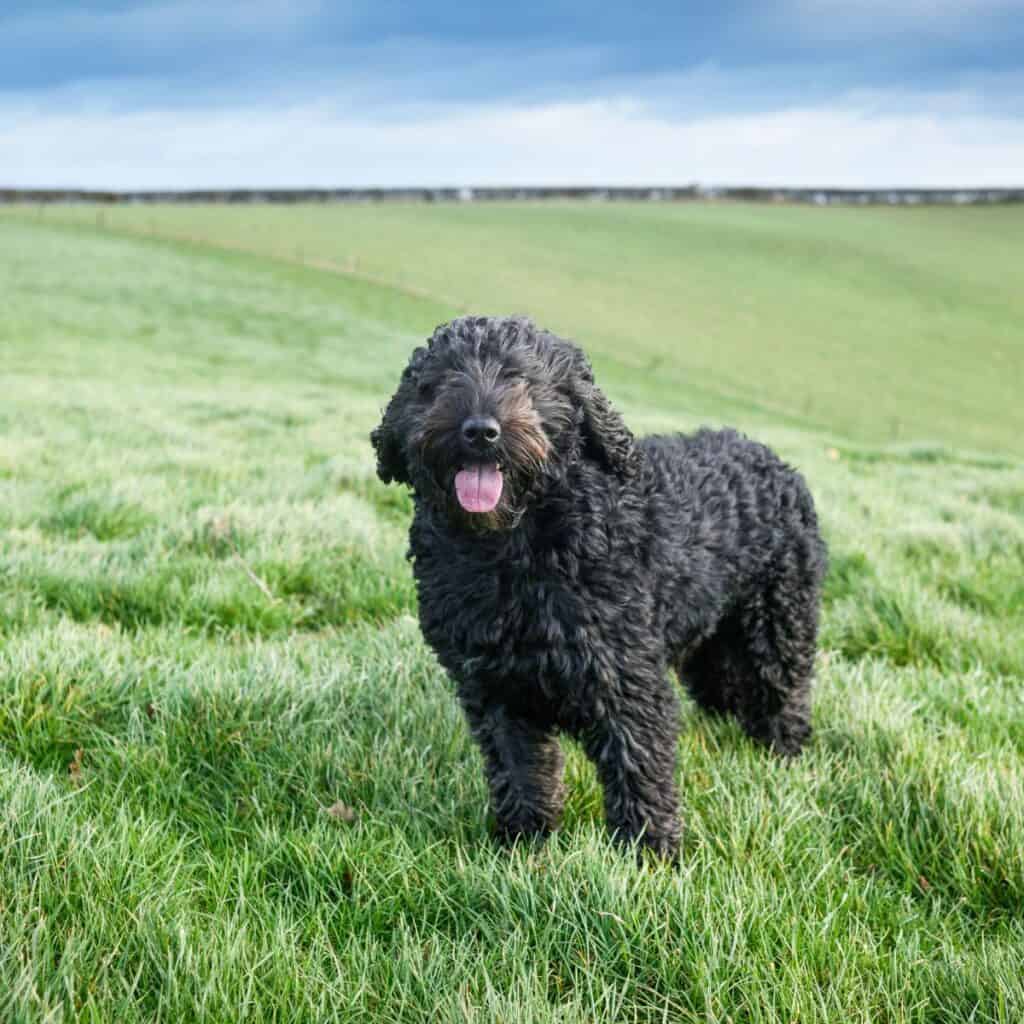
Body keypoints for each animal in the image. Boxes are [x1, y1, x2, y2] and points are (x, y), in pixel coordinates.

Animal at [372, 315, 827, 860]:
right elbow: (521, 771)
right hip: (713, 633)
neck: (515, 549)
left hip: (778, 620)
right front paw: (523, 841)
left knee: (784, 692)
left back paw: (783, 755)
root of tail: (777, 463)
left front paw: (649, 854)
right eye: (439, 382)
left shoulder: (626, 679)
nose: (480, 430)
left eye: (524, 379)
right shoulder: (494, 688)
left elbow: (638, 766)